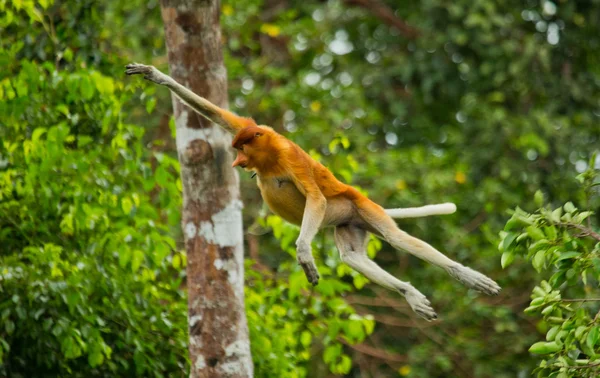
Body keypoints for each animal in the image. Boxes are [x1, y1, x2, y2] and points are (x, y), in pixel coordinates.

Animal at [126, 62, 502, 318]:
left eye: (243, 149)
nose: (237, 163)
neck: (269, 156)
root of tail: (358, 206)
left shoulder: (290, 158)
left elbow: (316, 197)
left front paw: (304, 254)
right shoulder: (247, 127)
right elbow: (215, 112)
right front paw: (154, 75)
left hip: (360, 206)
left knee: (396, 238)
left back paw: (466, 276)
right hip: (348, 223)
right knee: (352, 258)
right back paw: (410, 293)